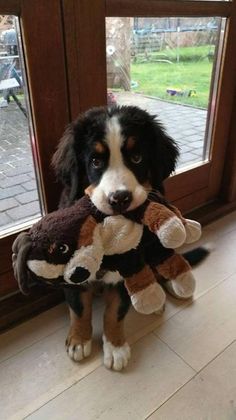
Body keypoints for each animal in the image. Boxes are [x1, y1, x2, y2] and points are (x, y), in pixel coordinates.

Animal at [52, 105, 206, 370]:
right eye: (95, 161)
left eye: (137, 158)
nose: (120, 198)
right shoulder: (73, 268)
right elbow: (79, 308)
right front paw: (79, 340)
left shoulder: (132, 264)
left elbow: (114, 313)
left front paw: (115, 347)